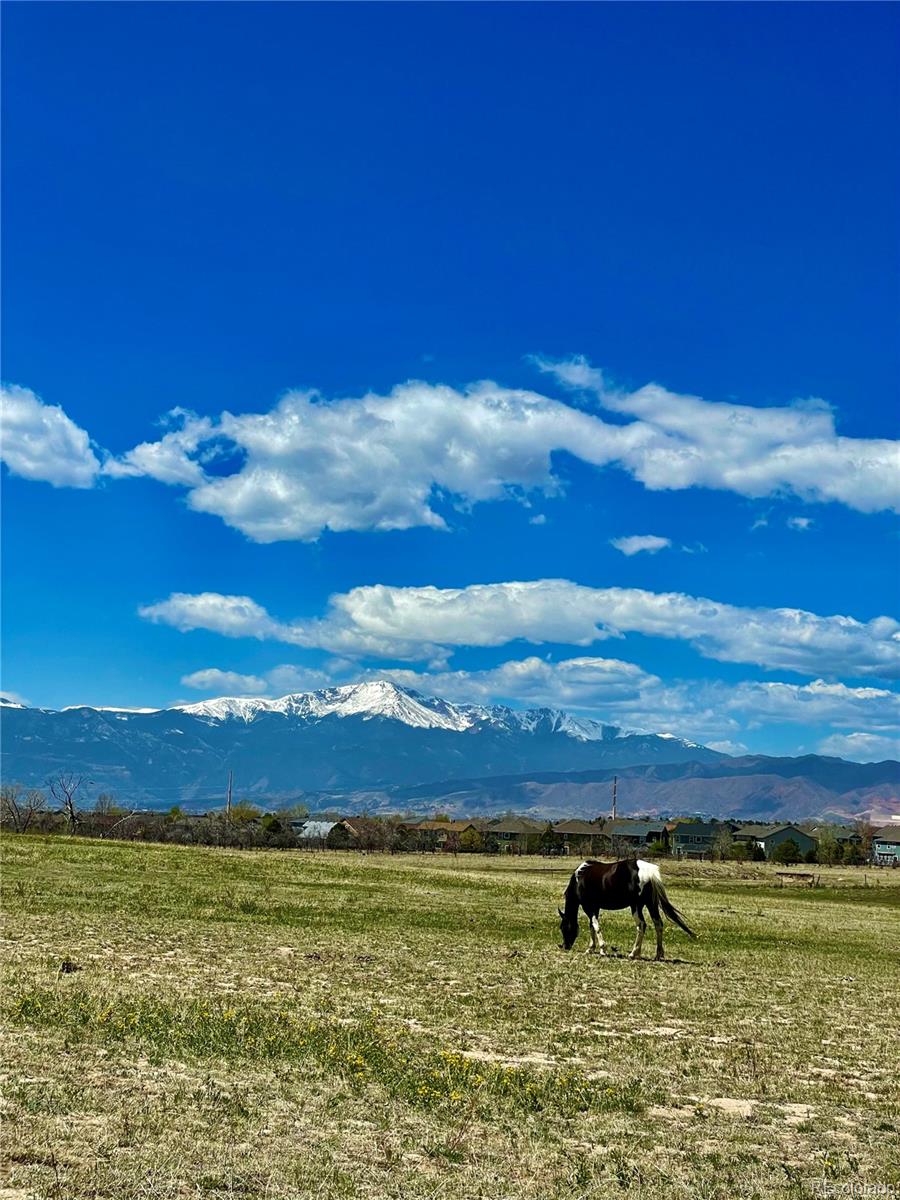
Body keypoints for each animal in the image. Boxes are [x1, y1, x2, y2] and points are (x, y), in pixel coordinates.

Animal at [556, 859, 696, 960]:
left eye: (563, 927)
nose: (565, 946)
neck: (580, 877)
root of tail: (649, 873)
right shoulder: (595, 908)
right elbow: (592, 926)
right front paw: (591, 948)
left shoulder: (588, 907)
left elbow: (595, 926)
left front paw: (602, 949)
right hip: (651, 904)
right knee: (658, 924)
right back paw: (658, 954)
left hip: (636, 906)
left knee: (642, 925)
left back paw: (634, 953)